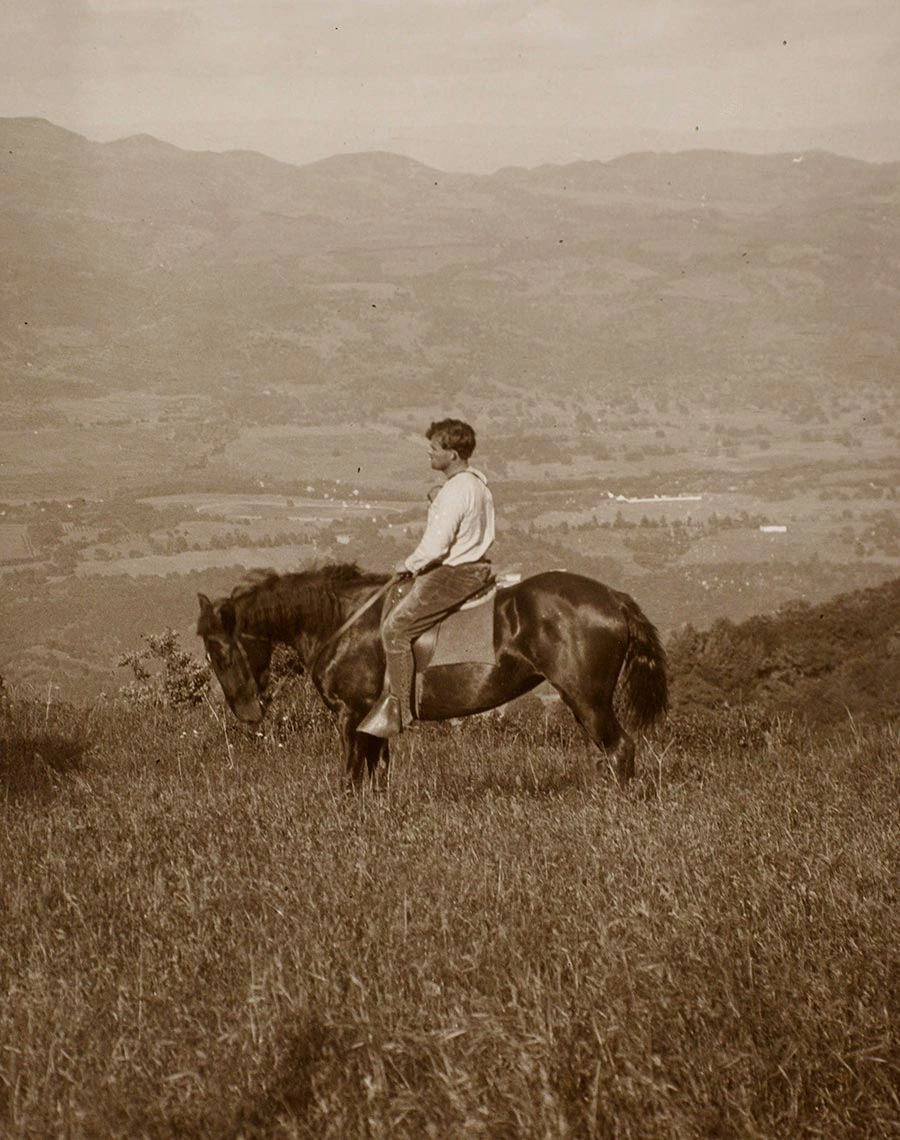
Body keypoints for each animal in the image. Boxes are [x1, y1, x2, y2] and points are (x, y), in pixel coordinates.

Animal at [199, 558, 670, 788]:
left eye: (216, 648)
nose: (246, 712)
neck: (343, 621)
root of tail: (612, 596)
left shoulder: (352, 714)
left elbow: (351, 775)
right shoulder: (375, 719)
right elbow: (378, 773)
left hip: (587, 698)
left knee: (621, 749)